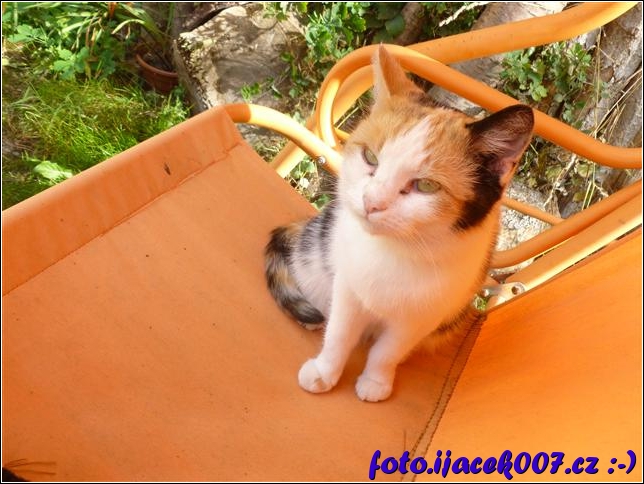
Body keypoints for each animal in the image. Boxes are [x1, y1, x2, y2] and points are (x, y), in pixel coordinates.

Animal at [265, 46, 534, 402]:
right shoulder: (348, 287)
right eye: (371, 158)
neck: (396, 252)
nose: (371, 201)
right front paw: (324, 372)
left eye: (426, 186)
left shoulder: (421, 318)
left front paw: (376, 381)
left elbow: (388, 350)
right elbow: (339, 333)